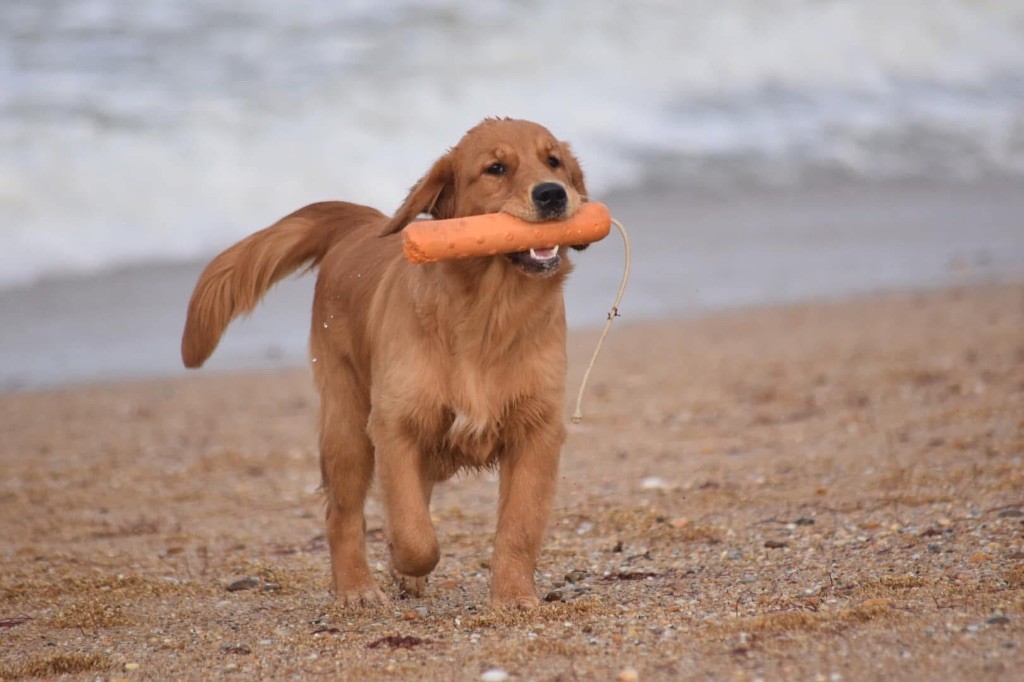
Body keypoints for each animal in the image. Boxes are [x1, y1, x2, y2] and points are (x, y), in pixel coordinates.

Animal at [181, 116, 589, 606]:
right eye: (496, 168)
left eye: (554, 162)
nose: (552, 194)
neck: (488, 314)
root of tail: (360, 224)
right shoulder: (395, 424)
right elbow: (414, 533)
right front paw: (401, 558)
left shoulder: (536, 430)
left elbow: (519, 526)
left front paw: (512, 597)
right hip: (346, 423)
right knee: (342, 515)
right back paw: (356, 587)